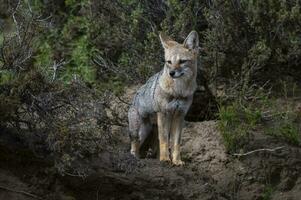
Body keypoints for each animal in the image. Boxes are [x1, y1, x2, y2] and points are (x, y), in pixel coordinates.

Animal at [127, 30, 198, 166]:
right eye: (169, 62)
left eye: (182, 61)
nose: (171, 73)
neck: (178, 91)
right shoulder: (164, 113)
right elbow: (165, 140)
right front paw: (165, 159)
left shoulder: (179, 115)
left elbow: (176, 142)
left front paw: (177, 161)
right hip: (141, 132)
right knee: (134, 146)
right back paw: (135, 158)